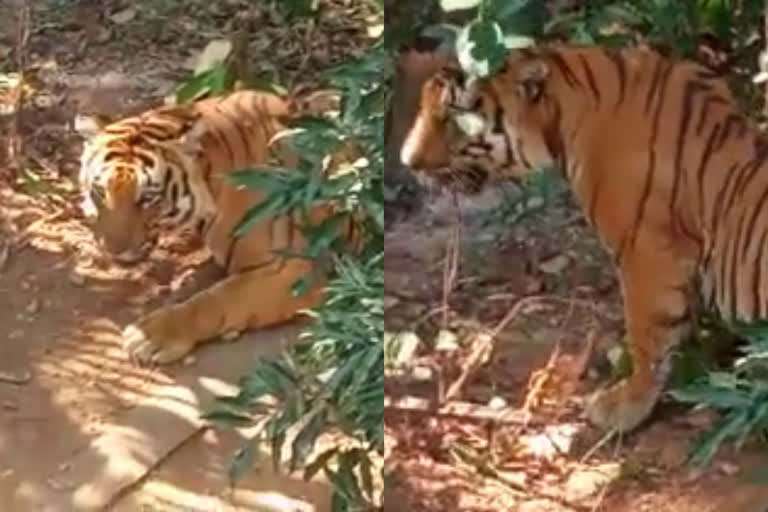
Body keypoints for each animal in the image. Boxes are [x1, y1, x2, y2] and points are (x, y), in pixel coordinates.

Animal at [78, 90, 342, 366]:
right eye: (100, 191)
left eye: (147, 198)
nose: (113, 249)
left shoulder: (300, 269)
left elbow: (216, 299)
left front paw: (150, 337)